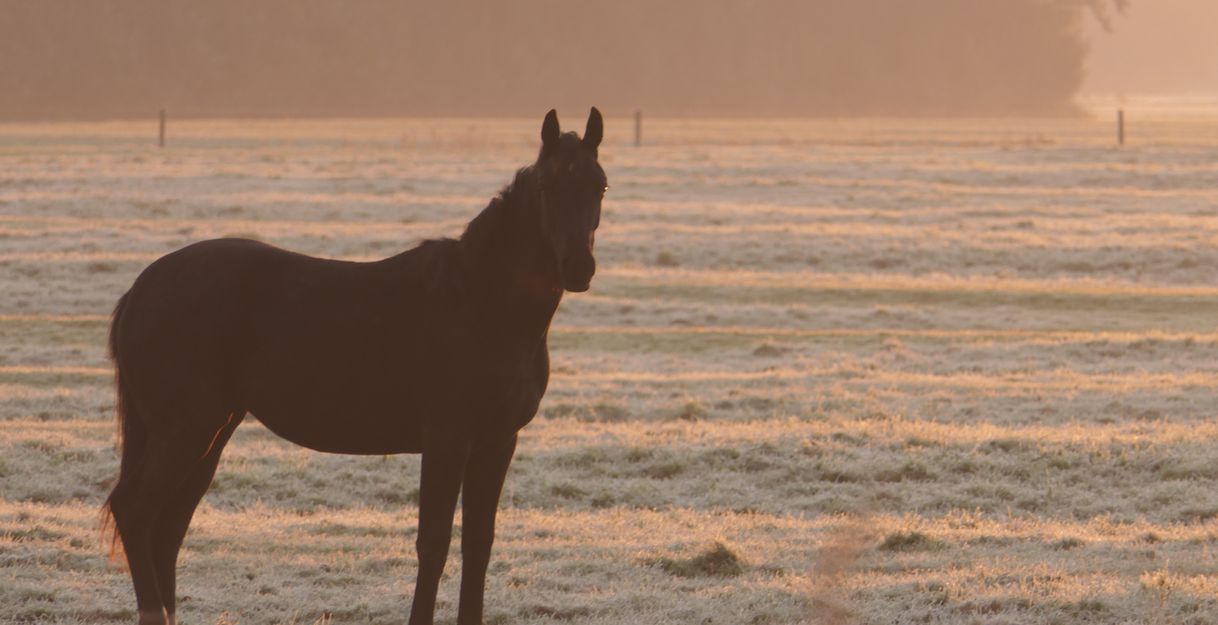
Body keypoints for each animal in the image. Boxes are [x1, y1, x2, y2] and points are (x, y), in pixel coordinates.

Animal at [101, 108, 607, 625]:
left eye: (600, 186)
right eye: (546, 185)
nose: (578, 268)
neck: (479, 300)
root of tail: (142, 287)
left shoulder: (497, 442)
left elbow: (478, 544)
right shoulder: (447, 438)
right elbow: (434, 544)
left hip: (209, 434)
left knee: (167, 528)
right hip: (185, 432)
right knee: (137, 512)